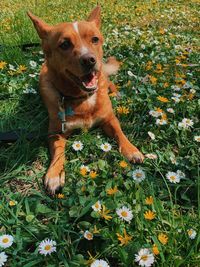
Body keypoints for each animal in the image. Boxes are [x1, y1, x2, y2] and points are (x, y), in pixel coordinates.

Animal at [27, 6, 144, 195]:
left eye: (95, 39)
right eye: (64, 44)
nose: (89, 60)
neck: (83, 98)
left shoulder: (109, 119)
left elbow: (120, 133)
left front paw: (130, 149)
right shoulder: (55, 131)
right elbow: (58, 152)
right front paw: (54, 173)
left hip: (104, 76)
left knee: (110, 83)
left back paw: (116, 93)